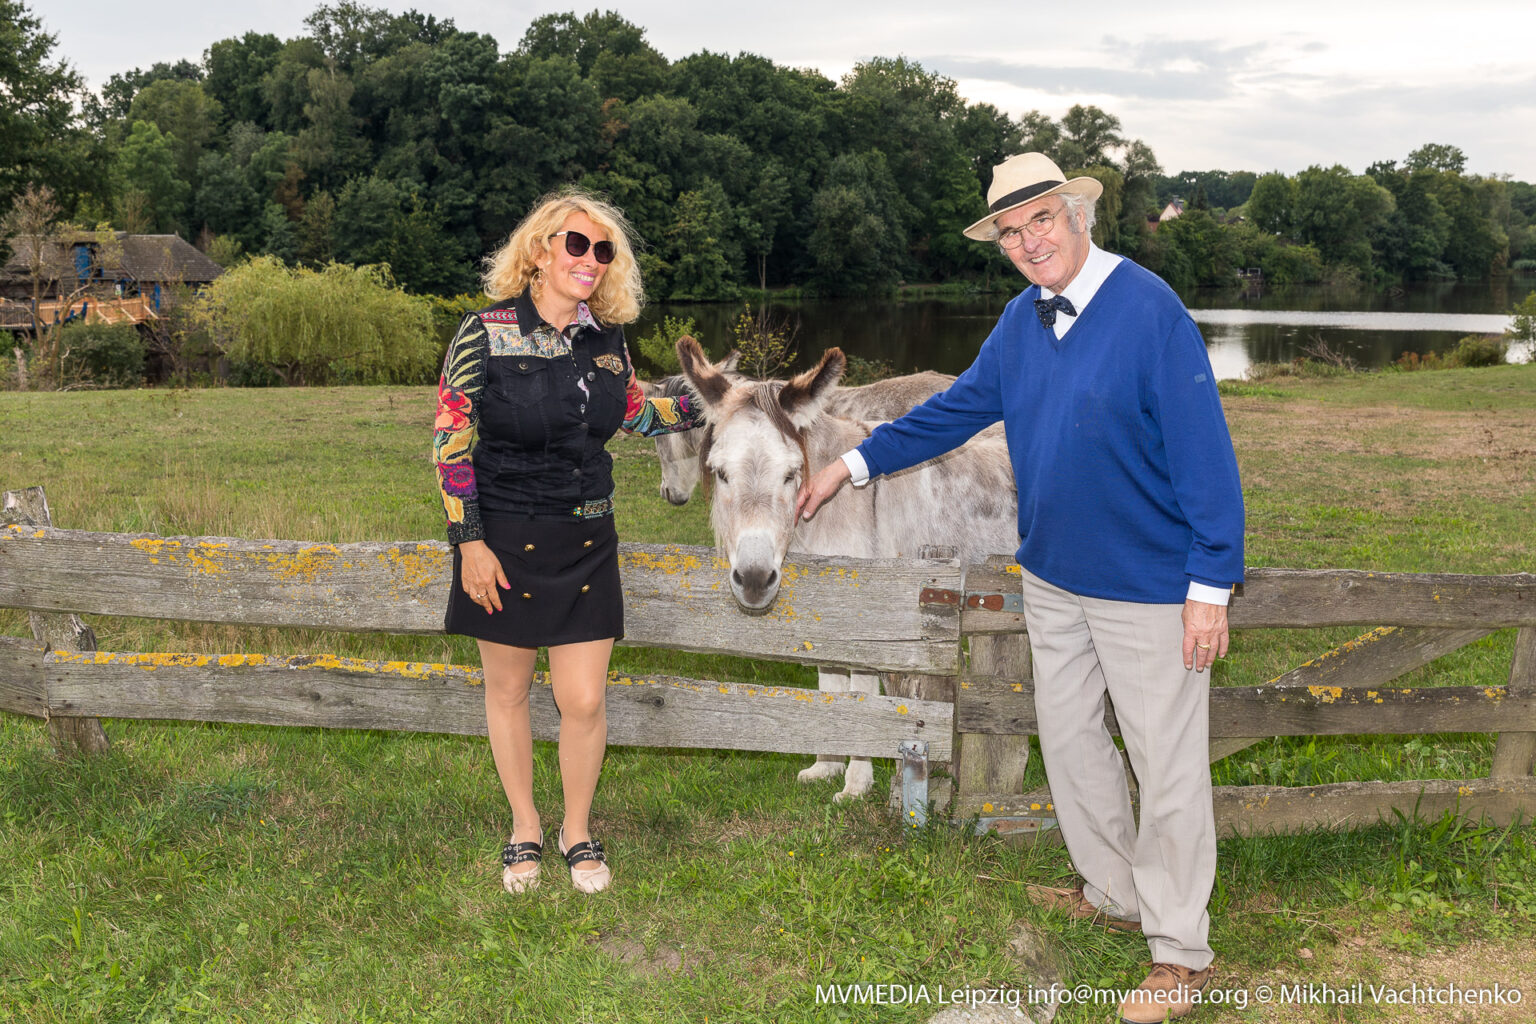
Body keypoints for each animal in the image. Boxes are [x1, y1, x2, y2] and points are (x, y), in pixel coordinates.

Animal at [676, 336, 1019, 802]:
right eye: (721, 474)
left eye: (792, 474)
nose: (754, 580)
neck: (827, 513)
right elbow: (831, 683)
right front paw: (826, 765)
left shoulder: (872, 616)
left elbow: (860, 692)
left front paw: (856, 784)